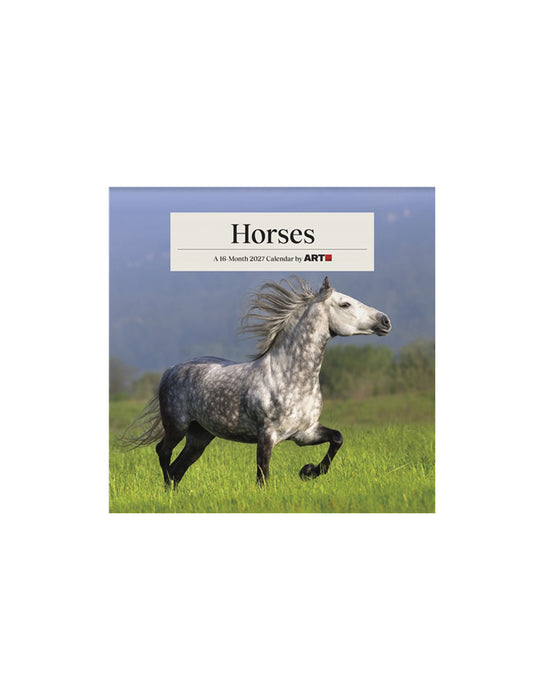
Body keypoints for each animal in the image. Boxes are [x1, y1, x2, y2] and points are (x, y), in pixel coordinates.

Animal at [122, 277, 391, 486]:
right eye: (345, 304)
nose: (385, 321)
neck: (291, 378)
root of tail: (171, 370)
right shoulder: (266, 436)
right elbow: (262, 477)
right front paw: (304, 473)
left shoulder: (304, 432)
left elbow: (337, 438)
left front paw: (308, 471)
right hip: (177, 426)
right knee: (163, 452)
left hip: (200, 436)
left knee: (179, 467)